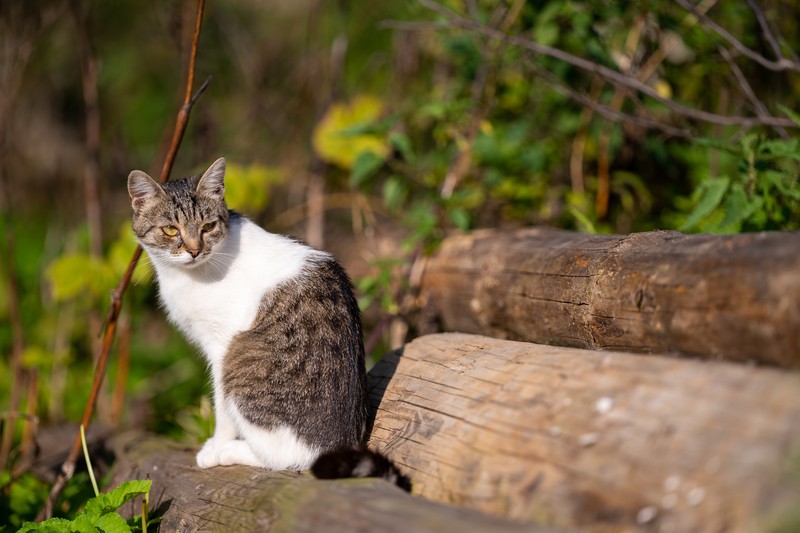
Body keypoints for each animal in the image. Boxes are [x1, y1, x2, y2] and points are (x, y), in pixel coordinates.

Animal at [128, 156, 410, 488]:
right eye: (171, 230)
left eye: (208, 226)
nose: (194, 250)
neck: (189, 275)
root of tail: (338, 444)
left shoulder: (220, 346)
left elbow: (221, 408)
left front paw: (217, 444)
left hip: (238, 359)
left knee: (285, 458)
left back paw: (230, 451)